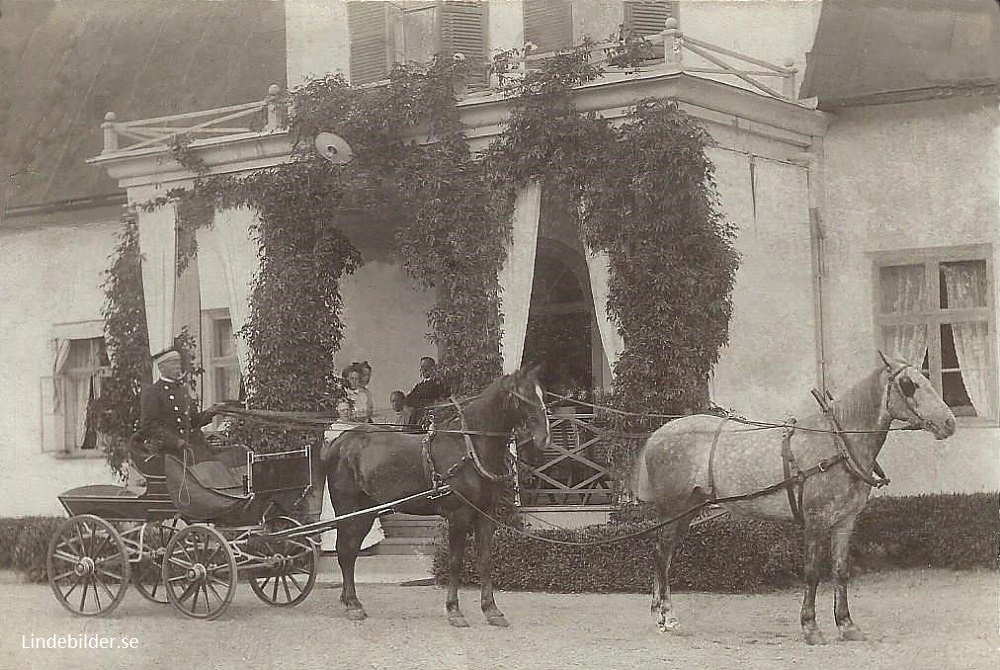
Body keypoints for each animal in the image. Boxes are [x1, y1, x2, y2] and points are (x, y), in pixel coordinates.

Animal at [324, 364, 552, 628]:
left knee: (350, 551)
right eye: (523, 396)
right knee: (344, 550)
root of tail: (340, 441)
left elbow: (485, 560)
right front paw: (454, 610)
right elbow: (455, 562)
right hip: (348, 510)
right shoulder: (458, 516)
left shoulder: (485, 515)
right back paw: (352, 604)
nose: (544, 438)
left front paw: (491, 609)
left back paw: (351, 601)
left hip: (365, 513)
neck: (469, 448)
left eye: (542, 394)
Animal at [636, 356, 956, 644]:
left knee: (665, 555)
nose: (949, 422)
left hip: (687, 511)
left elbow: (840, 571)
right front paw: (811, 627)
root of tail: (657, 435)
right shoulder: (816, 520)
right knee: (661, 554)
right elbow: (812, 572)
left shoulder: (845, 521)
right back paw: (666, 616)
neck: (837, 443)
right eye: (909, 384)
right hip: (673, 509)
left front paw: (847, 625)